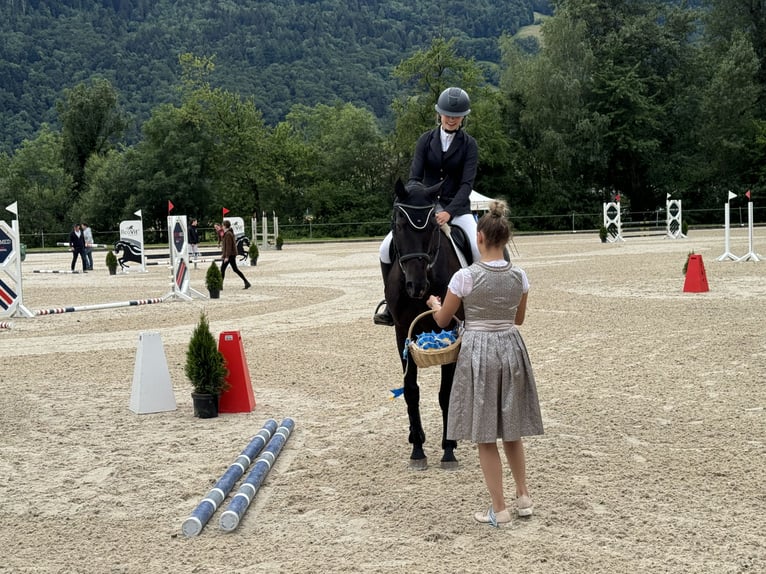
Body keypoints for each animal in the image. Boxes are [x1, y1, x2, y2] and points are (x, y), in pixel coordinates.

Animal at [388, 181, 464, 472]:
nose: (416, 286)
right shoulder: (402, 332)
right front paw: (418, 449)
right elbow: (411, 391)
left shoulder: (452, 330)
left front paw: (449, 449)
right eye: (399, 225)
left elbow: (446, 393)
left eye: (432, 226)